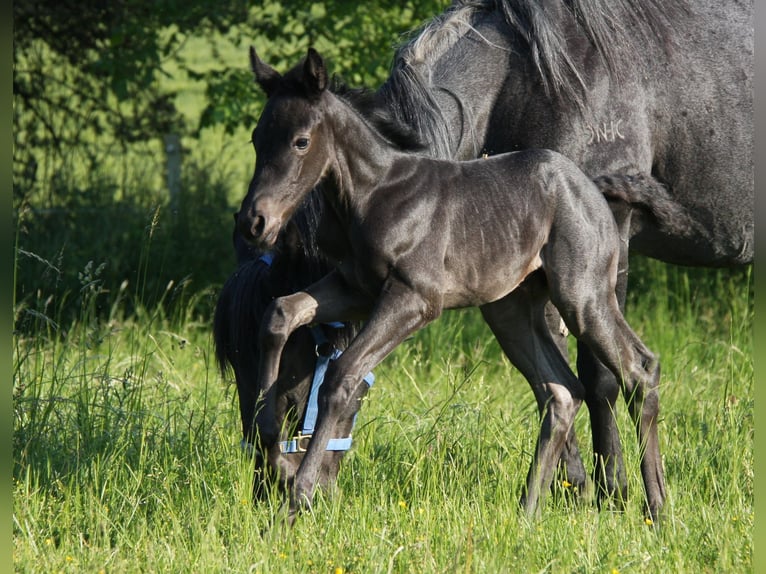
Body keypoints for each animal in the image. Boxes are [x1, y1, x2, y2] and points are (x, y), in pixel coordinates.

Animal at [237, 49, 676, 524]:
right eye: (257, 139)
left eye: (301, 141)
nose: (254, 222)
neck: (374, 194)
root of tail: (593, 189)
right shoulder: (354, 288)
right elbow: (280, 313)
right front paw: (267, 436)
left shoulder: (414, 298)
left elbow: (341, 375)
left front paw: (295, 501)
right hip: (509, 310)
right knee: (561, 391)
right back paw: (527, 513)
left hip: (583, 295)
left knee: (638, 370)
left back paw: (657, 509)